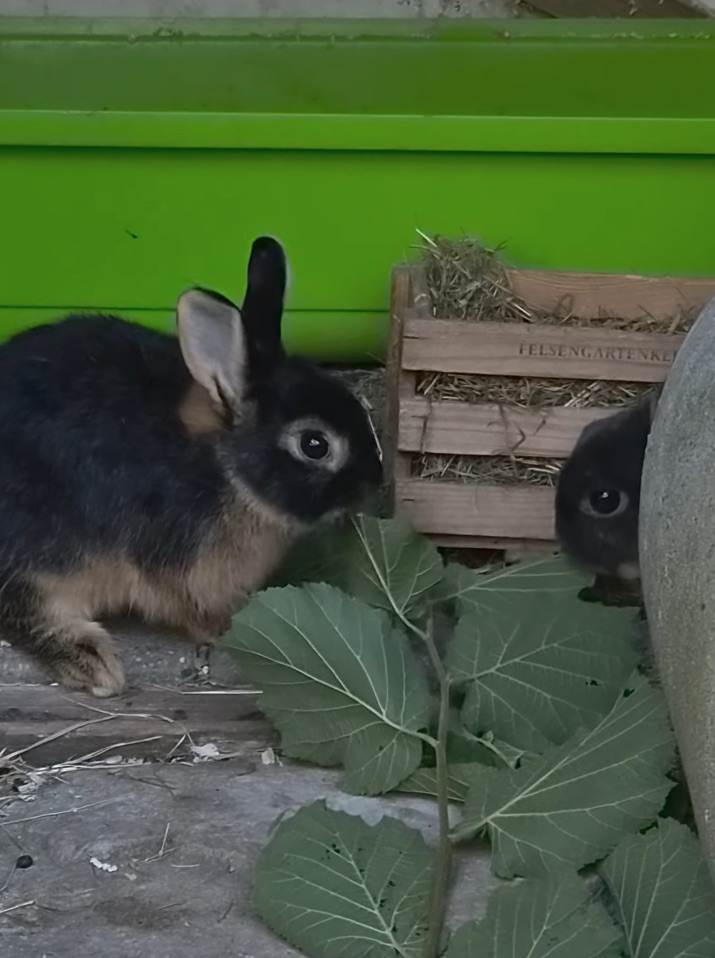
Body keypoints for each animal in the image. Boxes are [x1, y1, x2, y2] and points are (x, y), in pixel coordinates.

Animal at [0, 236, 383, 697]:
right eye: (315, 444)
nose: (375, 483)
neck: (226, 467)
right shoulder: (179, 571)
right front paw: (233, 625)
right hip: (45, 551)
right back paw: (93, 663)